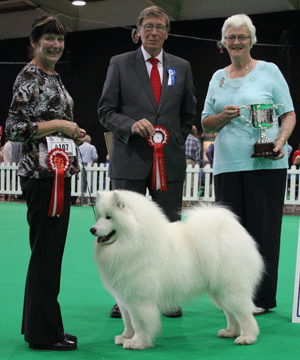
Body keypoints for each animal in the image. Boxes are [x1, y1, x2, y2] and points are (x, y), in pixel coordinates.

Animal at [90, 190, 264, 350]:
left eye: (109, 217)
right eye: (99, 216)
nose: (92, 230)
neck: (133, 241)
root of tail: (229, 230)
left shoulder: (139, 299)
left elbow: (139, 323)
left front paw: (137, 342)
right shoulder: (124, 299)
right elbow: (127, 322)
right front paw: (125, 337)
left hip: (230, 290)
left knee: (244, 314)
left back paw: (247, 337)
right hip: (219, 293)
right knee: (231, 314)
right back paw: (230, 332)